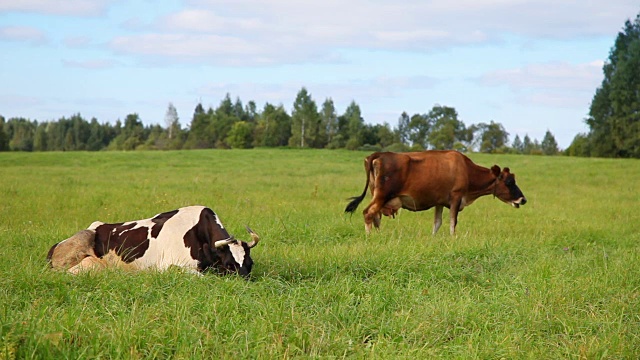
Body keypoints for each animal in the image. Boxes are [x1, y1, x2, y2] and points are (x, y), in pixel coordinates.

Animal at [344, 150, 524, 235]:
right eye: (509, 182)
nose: (523, 199)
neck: (466, 169)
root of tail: (380, 154)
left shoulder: (440, 202)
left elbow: (437, 223)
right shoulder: (456, 197)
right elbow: (452, 222)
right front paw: (453, 238)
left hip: (376, 195)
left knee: (376, 216)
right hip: (382, 195)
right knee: (368, 213)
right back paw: (370, 236)